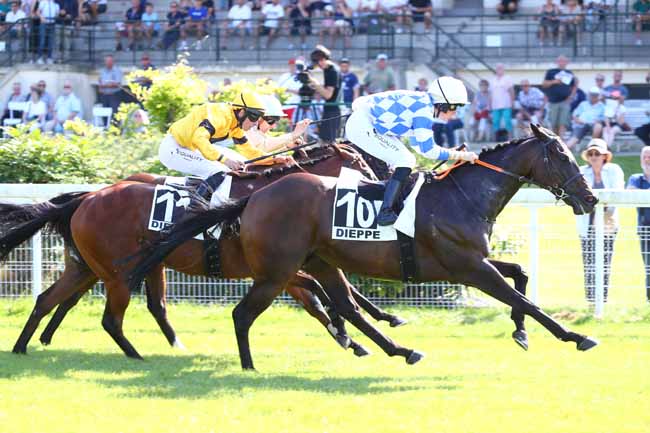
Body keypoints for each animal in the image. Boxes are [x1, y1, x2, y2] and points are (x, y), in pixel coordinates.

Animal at [1, 144, 400, 358]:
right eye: (361, 164)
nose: (380, 185)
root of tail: (88, 197)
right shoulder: (277, 269)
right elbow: (320, 297)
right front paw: (353, 333)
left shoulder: (284, 268)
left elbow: (325, 298)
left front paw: (364, 332)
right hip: (116, 271)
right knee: (110, 316)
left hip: (93, 266)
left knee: (50, 299)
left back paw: (24, 346)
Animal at [129, 124, 600, 368]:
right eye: (562, 155)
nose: (591, 198)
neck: (461, 196)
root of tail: (255, 197)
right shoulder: (469, 267)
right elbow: (528, 300)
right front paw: (575, 336)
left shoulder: (469, 264)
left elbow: (521, 277)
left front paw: (520, 332)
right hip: (278, 271)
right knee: (244, 314)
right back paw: (249, 367)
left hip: (318, 262)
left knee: (346, 306)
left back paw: (399, 349)